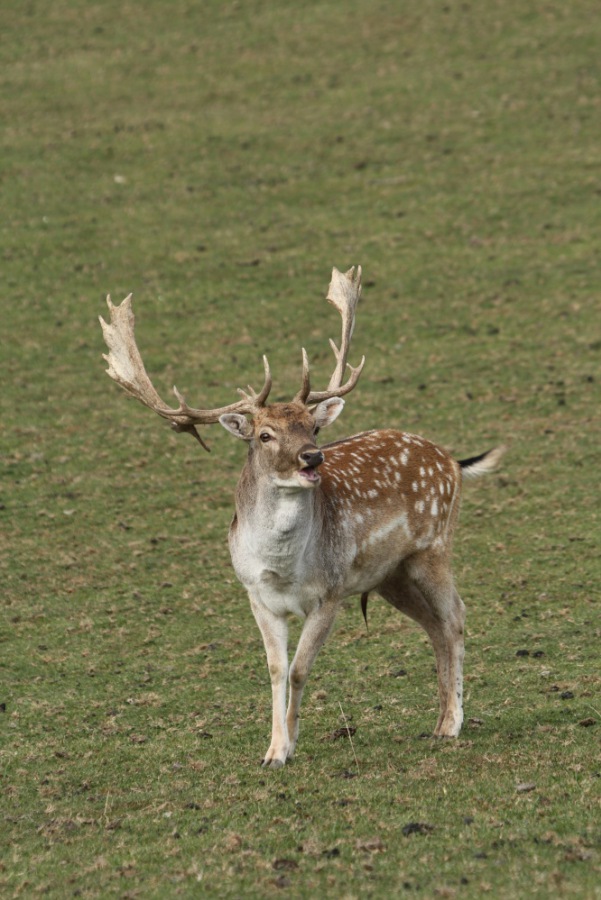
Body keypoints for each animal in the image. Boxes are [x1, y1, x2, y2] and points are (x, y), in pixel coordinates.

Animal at [100, 266, 504, 768]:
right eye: (265, 434)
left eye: (313, 427)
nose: (313, 457)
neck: (282, 566)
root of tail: (451, 460)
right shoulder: (256, 596)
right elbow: (276, 669)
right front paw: (274, 750)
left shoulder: (329, 593)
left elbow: (298, 670)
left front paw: (288, 744)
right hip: (390, 574)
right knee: (433, 626)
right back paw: (438, 719)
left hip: (434, 547)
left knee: (455, 617)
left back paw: (452, 724)